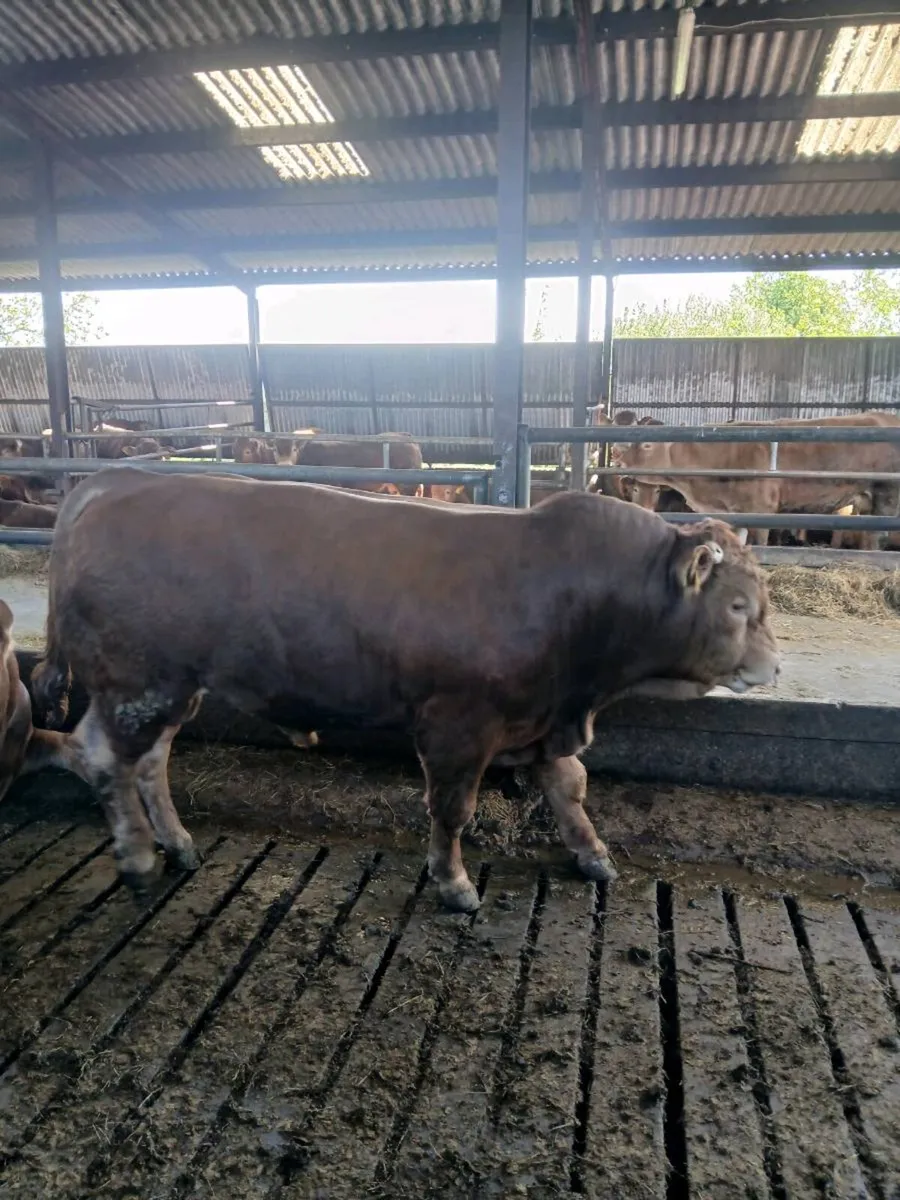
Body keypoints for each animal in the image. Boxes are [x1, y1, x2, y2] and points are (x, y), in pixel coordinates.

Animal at [32, 468, 780, 911]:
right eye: (739, 606)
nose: (773, 667)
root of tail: (112, 483)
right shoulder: (459, 723)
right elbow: (452, 808)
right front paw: (454, 883)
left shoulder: (541, 716)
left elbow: (569, 787)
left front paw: (593, 855)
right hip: (137, 683)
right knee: (103, 758)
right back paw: (137, 857)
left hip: (170, 687)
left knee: (149, 762)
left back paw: (178, 844)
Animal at [611, 411, 900, 549]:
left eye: (647, 444)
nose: (616, 453)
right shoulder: (734, 513)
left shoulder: (762, 510)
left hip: (887, 494)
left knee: (877, 538)